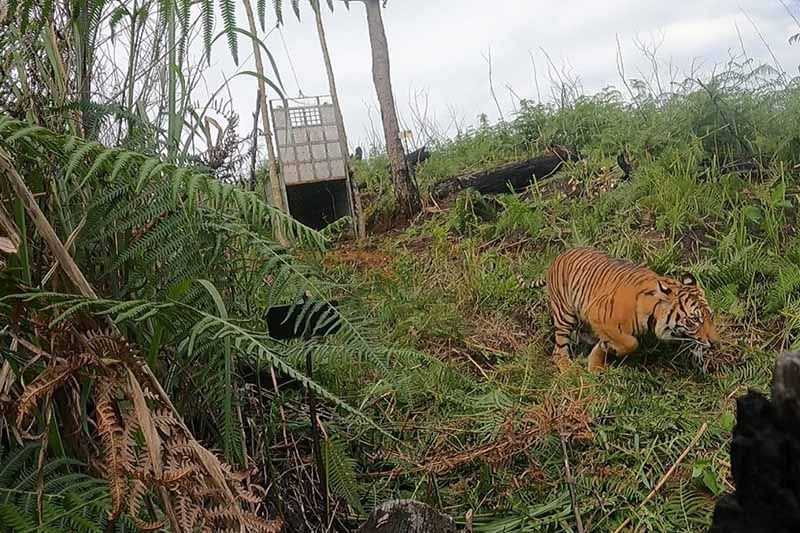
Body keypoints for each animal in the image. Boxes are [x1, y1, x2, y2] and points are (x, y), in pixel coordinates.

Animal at [536, 247, 720, 372]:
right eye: (694, 320)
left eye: (710, 316)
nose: (715, 342)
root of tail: (560, 255)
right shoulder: (598, 314)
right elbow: (631, 342)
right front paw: (613, 350)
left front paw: (596, 363)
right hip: (564, 314)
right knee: (558, 350)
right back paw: (569, 370)